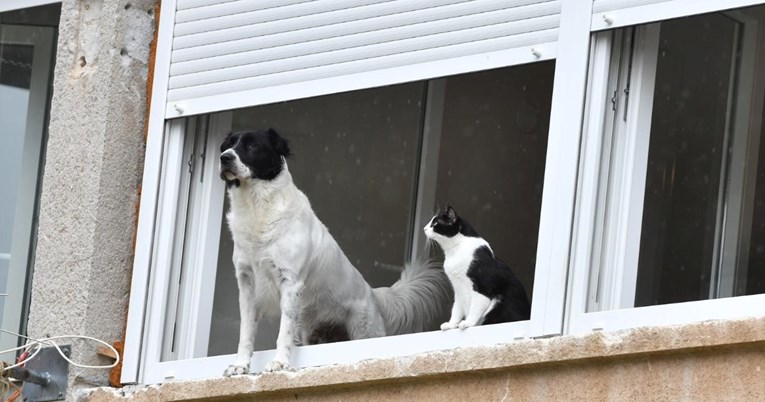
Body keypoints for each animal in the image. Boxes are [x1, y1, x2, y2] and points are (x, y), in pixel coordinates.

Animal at [218, 130, 450, 376]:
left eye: (252, 145)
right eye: (228, 145)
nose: (224, 158)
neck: (258, 208)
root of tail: (373, 294)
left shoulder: (290, 281)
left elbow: (284, 331)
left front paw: (279, 363)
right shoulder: (247, 285)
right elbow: (246, 333)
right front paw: (240, 365)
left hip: (363, 332)